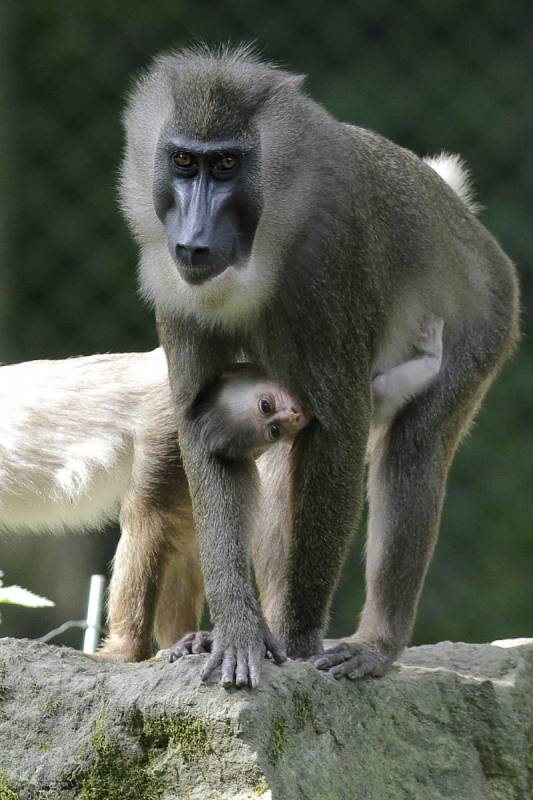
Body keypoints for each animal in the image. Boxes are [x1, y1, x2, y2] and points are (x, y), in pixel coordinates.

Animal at [119, 45, 516, 688]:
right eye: (183, 161)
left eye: (226, 164)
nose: (194, 239)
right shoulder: (176, 297)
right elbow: (205, 434)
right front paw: (238, 632)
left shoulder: (331, 263)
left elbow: (342, 430)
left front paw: (299, 638)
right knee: (283, 468)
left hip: (486, 321)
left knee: (412, 449)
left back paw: (374, 645)